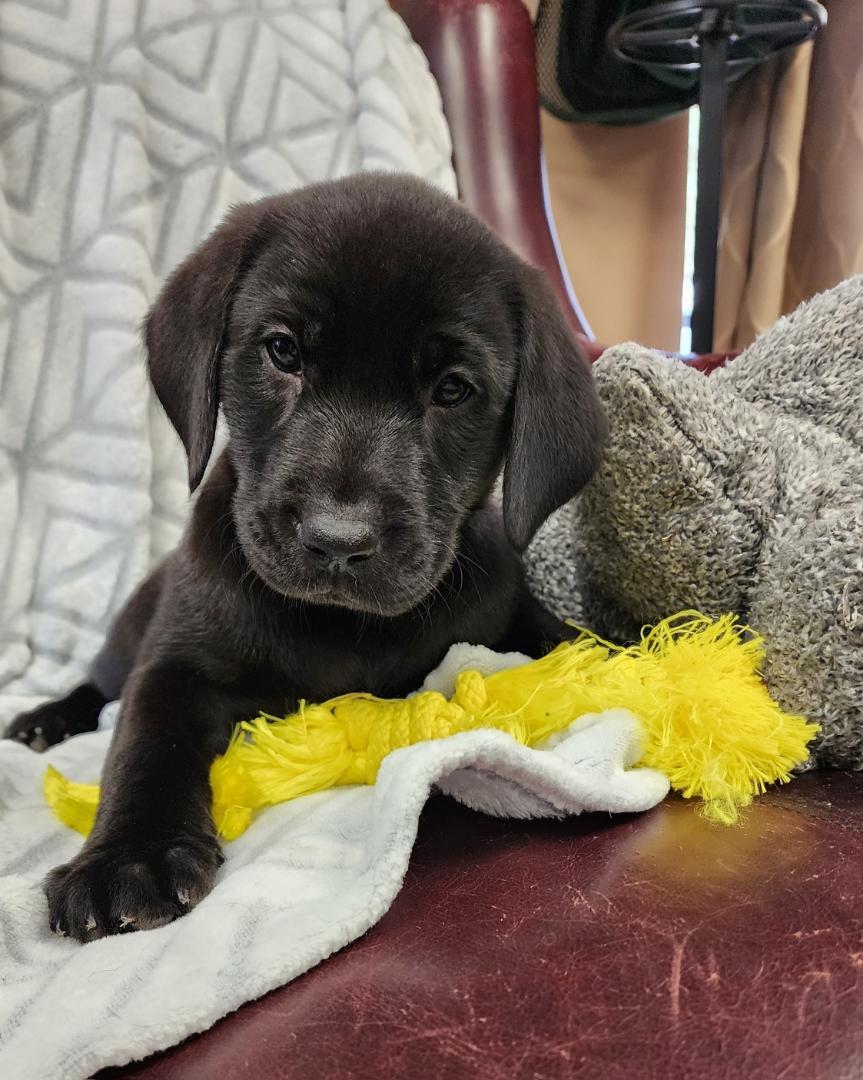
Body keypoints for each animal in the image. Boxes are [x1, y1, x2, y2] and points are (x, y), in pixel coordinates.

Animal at [4, 173, 606, 941]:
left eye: (453, 389)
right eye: (282, 352)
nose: (338, 540)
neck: (341, 625)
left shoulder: (507, 613)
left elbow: (572, 643)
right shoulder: (173, 664)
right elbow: (145, 742)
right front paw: (128, 858)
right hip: (126, 634)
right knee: (98, 683)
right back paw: (46, 720)